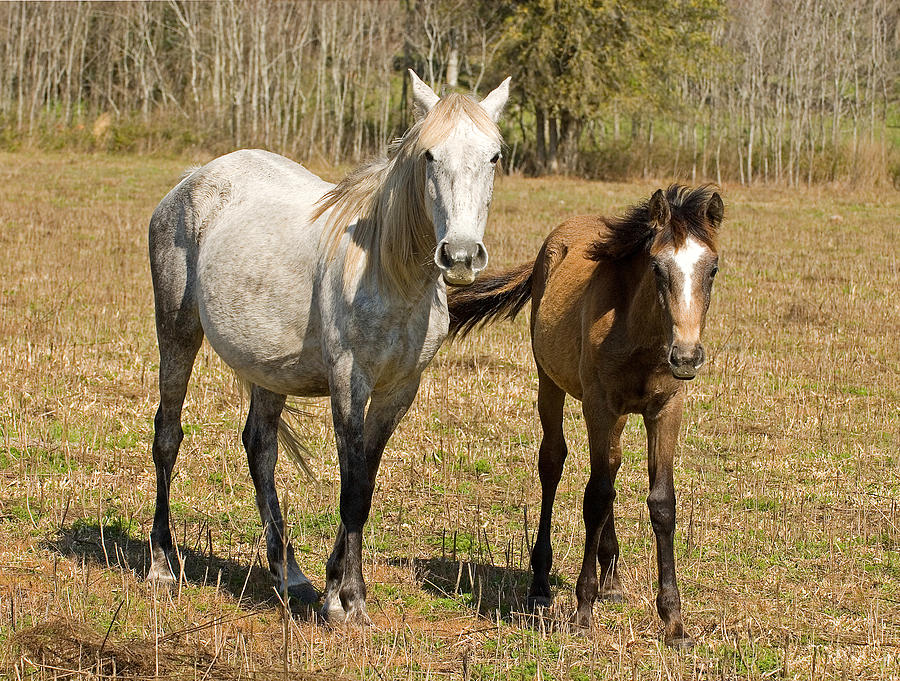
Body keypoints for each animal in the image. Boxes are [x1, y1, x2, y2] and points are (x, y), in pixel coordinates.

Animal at [151, 70, 510, 620]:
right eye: (429, 155)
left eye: (493, 156)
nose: (461, 255)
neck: (390, 273)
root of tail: (190, 180)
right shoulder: (349, 382)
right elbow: (353, 488)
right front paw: (349, 601)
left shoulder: (398, 391)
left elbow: (364, 481)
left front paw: (336, 588)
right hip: (177, 333)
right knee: (168, 436)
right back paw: (162, 565)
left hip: (267, 368)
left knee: (260, 448)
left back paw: (289, 574)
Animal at [450, 187, 724, 648]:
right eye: (656, 267)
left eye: (713, 269)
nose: (686, 356)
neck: (636, 332)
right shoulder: (598, 405)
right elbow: (594, 497)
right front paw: (582, 610)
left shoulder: (666, 408)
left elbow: (660, 503)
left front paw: (674, 622)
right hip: (550, 383)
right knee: (554, 462)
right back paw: (541, 584)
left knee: (610, 469)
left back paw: (611, 580)